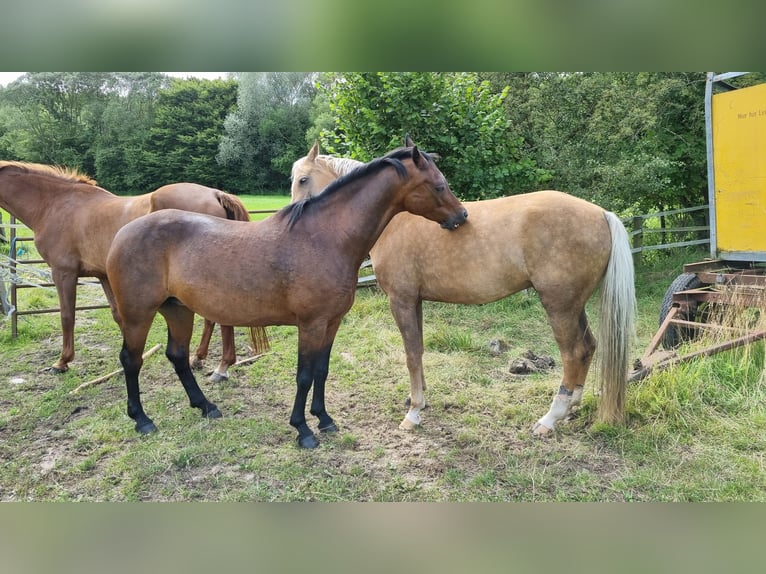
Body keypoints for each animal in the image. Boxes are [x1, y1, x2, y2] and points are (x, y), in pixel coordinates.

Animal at [0, 162, 266, 380]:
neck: (55, 204)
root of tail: (215, 193)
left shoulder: (63, 272)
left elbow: (67, 317)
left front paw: (62, 362)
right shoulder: (103, 275)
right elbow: (119, 315)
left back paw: (222, 367)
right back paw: (199, 358)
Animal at [106, 144, 468, 450]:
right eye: (439, 185)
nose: (461, 216)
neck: (325, 238)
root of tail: (123, 234)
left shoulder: (331, 323)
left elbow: (321, 370)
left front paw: (324, 419)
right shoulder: (310, 324)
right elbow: (304, 375)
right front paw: (303, 430)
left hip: (178, 311)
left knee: (178, 356)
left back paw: (206, 406)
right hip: (138, 314)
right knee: (131, 360)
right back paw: (142, 420)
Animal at [292, 142, 640, 438]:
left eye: (303, 179)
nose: (296, 219)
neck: (397, 218)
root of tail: (601, 214)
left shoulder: (400, 300)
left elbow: (410, 353)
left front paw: (413, 414)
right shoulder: (415, 301)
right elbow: (419, 350)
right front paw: (419, 401)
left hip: (559, 306)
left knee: (573, 353)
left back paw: (550, 419)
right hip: (574, 305)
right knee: (588, 347)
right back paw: (571, 408)